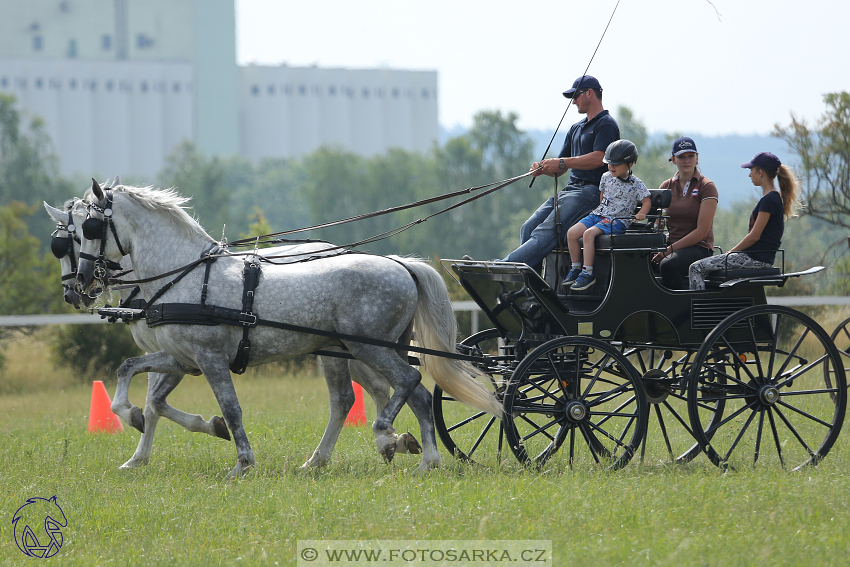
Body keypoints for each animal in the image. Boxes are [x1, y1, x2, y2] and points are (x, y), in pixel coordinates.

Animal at [74, 182, 496, 474]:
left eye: (91, 226)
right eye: (71, 232)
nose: (81, 281)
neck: (186, 275)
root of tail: (399, 264)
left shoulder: (210, 359)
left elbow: (231, 409)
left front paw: (242, 463)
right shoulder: (182, 358)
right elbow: (129, 371)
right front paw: (131, 417)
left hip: (370, 348)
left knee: (407, 382)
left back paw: (392, 440)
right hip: (359, 349)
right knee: (398, 396)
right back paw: (403, 458)